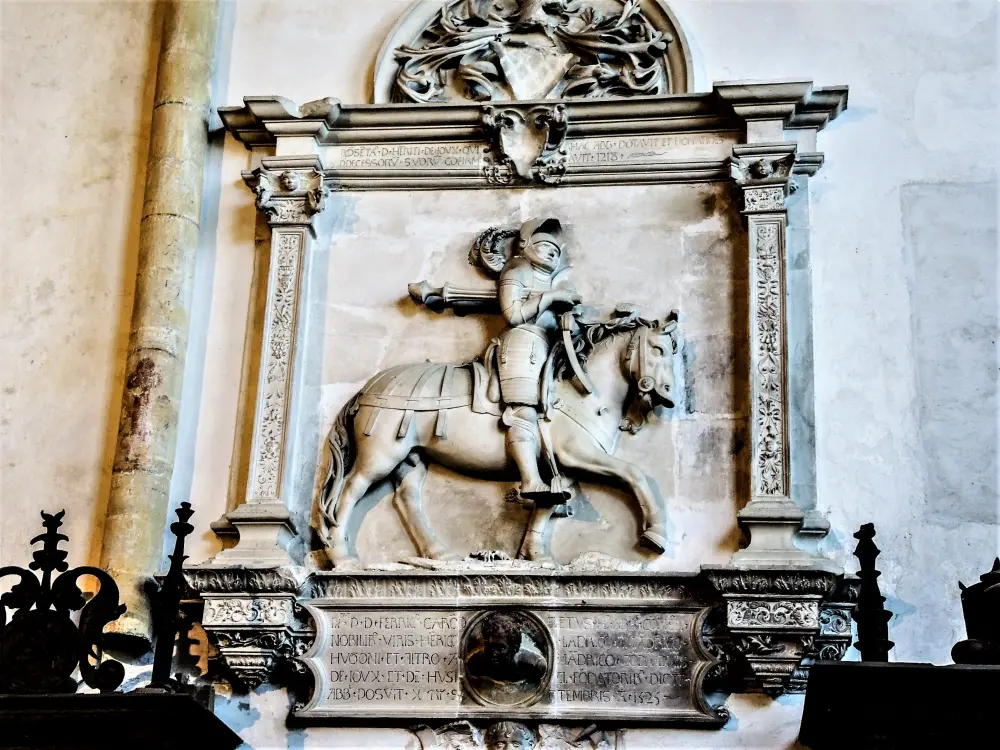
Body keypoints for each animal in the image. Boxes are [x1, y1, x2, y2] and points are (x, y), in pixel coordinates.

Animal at [320, 308, 680, 568]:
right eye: (657, 349)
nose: (667, 394)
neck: (583, 390)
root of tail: (367, 389)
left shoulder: (563, 469)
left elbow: (545, 506)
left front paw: (534, 556)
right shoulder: (577, 454)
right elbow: (634, 474)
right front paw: (655, 535)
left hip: (411, 458)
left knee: (406, 499)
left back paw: (439, 556)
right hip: (380, 457)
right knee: (345, 496)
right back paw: (343, 560)